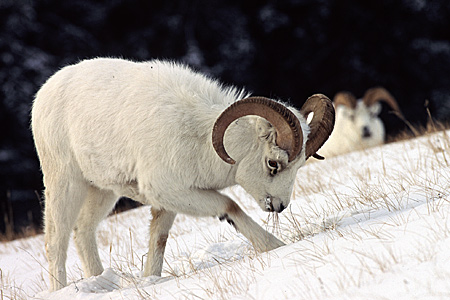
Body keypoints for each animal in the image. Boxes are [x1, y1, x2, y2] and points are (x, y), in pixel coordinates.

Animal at [30, 57, 334, 292]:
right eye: (273, 164)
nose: (279, 206)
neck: (198, 137)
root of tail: (44, 93)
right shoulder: (168, 190)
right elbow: (229, 205)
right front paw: (273, 245)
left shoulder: (169, 201)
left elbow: (159, 240)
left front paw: (150, 280)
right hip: (66, 184)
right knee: (56, 240)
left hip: (102, 191)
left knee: (83, 231)